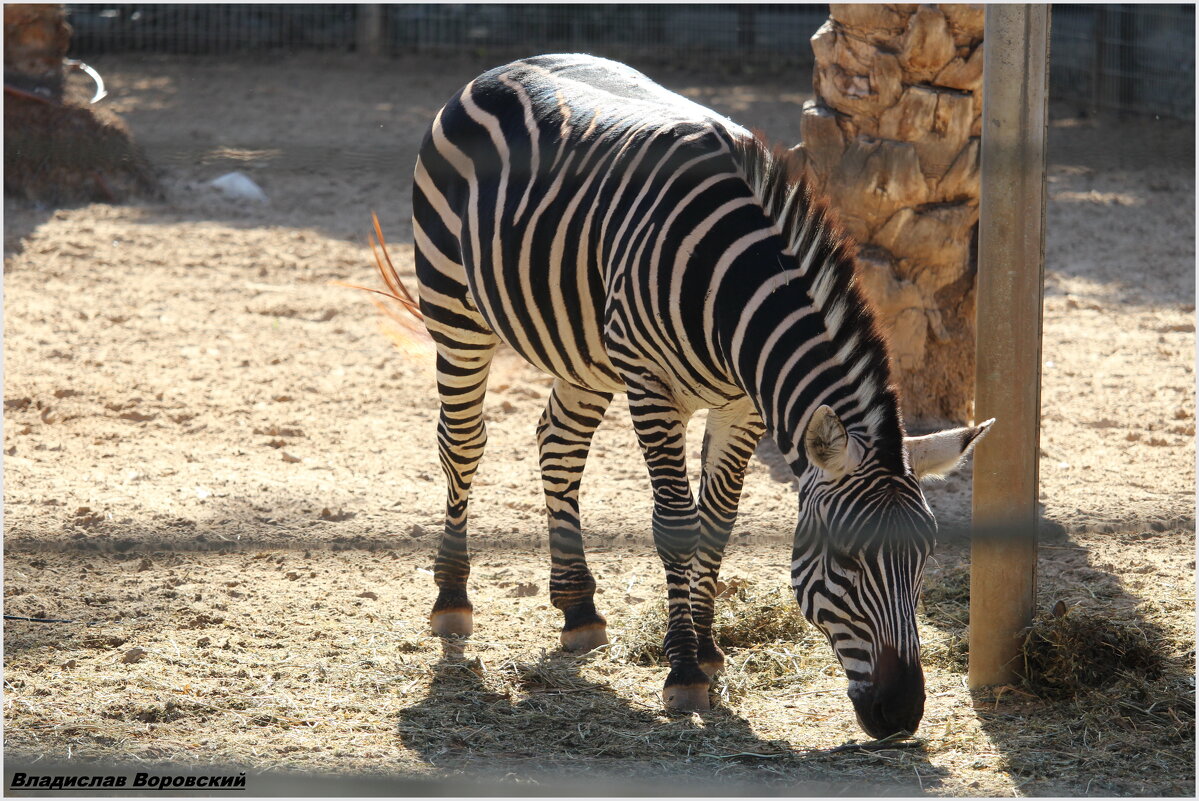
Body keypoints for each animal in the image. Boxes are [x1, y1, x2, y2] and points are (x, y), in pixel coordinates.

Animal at [405, 54, 992, 738]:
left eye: (924, 560)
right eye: (846, 561)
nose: (901, 715)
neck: (735, 293)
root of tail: (503, 67)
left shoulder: (742, 406)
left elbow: (718, 523)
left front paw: (708, 651)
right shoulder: (653, 388)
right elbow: (677, 526)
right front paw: (683, 672)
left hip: (583, 349)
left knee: (558, 445)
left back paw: (578, 608)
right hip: (453, 304)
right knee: (462, 443)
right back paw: (452, 600)